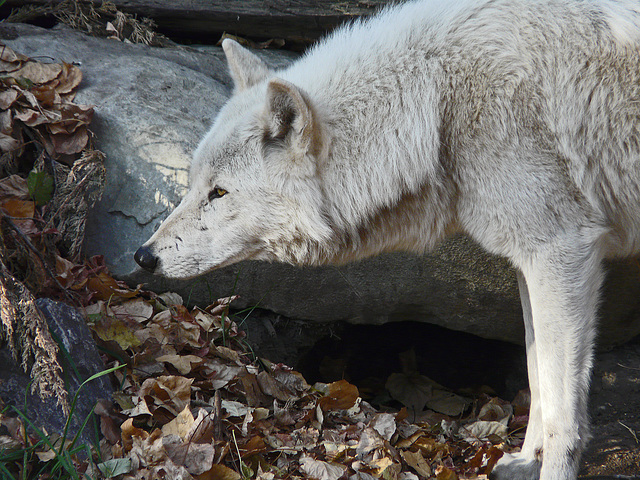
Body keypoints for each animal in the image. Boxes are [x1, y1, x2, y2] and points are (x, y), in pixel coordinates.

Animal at [134, 1, 640, 478]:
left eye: (219, 193)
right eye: (195, 183)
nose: (143, 255)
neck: (439, 110)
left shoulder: (560, 252)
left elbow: (561, 406)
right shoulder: (532, 259)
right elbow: (538, 377)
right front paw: (526, 461)